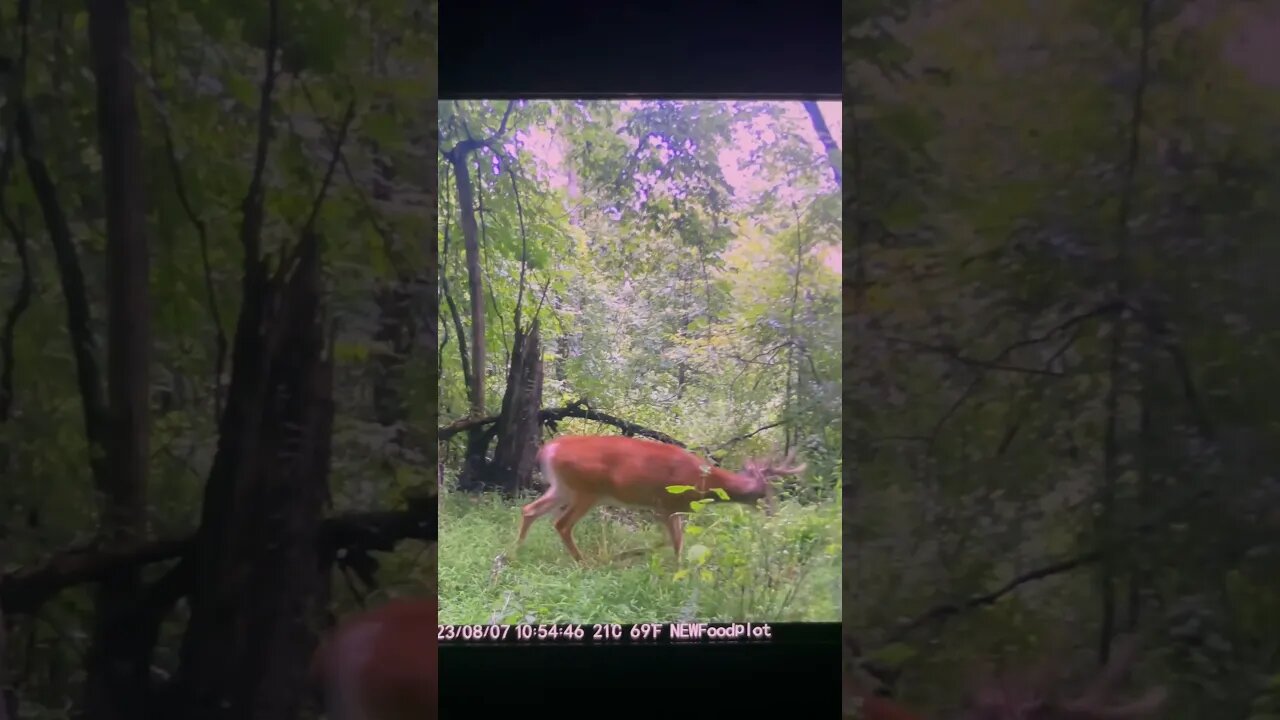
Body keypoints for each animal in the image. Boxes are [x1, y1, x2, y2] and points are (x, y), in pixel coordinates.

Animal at [514, 430, 803, 561]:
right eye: (766, 492)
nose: (773, 512)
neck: (704, 480)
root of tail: (549, 449)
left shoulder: (665, 509)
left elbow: (672, 540)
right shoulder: (667, 504)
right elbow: (674, 542)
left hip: (562, 488)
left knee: (529, 510)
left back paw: (517, 550)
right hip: (586, 490)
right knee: (561, 524)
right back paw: (584, 561)